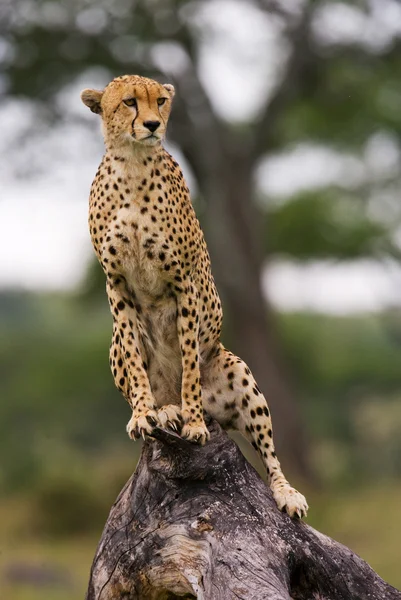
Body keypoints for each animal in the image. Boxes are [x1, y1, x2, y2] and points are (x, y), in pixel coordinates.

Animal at [80, 74, 306, 516]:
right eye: (130, 102)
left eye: (161, 101)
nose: (153, 124)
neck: (132, 163)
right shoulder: (116, 283)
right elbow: (136, 362)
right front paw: (143, 413)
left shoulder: (183, 283)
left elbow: (187, 360)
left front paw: (195, 423)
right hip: (114, 342)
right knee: (132, 361)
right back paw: (164, 410)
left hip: (238, 370)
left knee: (269, 452)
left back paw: (285, 490)